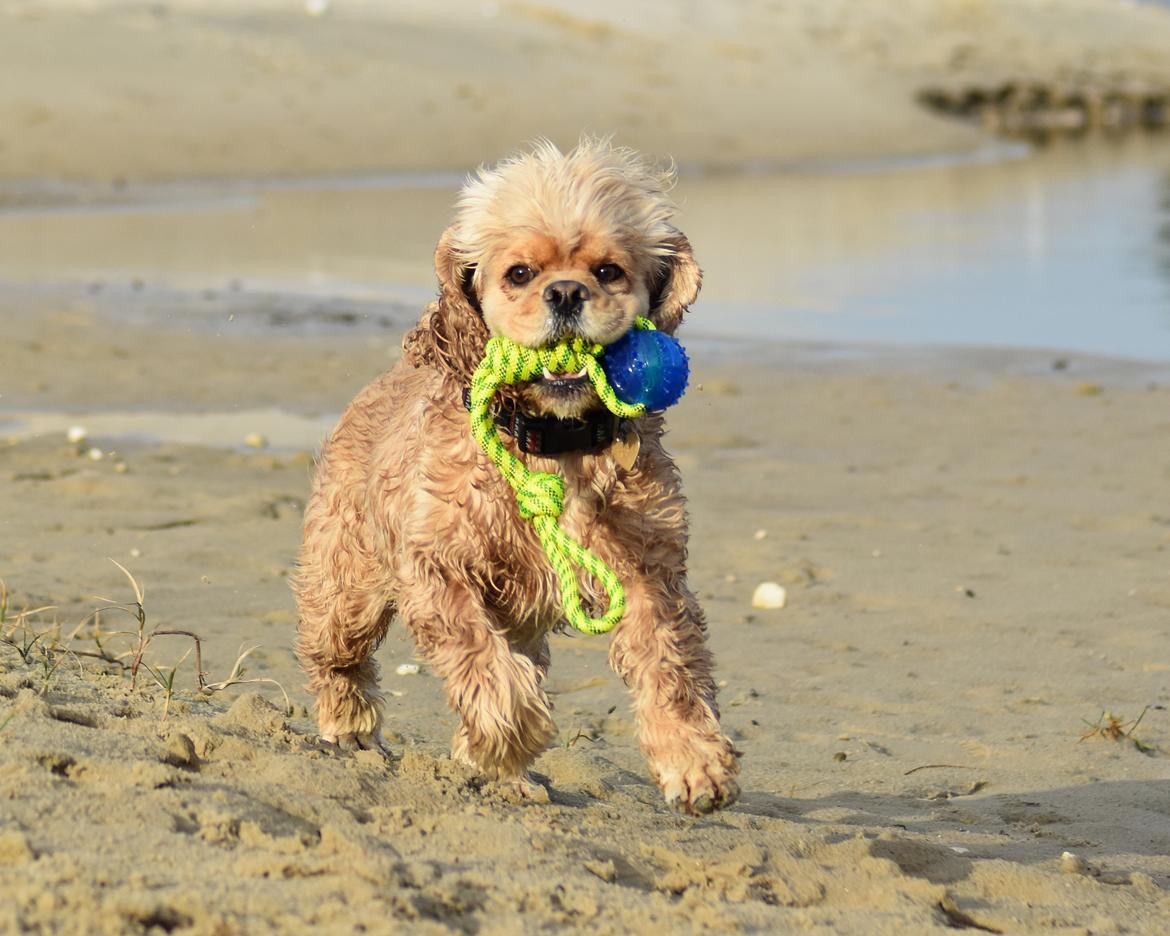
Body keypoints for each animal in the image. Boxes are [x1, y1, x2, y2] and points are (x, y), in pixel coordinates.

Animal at [297, 136, 739, 809]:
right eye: (520, 274)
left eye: (608, 272)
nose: (566, 293)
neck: (554, 442)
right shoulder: (437, 567)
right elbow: (483, 660)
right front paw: (507, 736)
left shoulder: (650, 571)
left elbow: (670, 666)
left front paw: (694, 762)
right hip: (349, 580)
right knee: (336, 653)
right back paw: (349, 725)